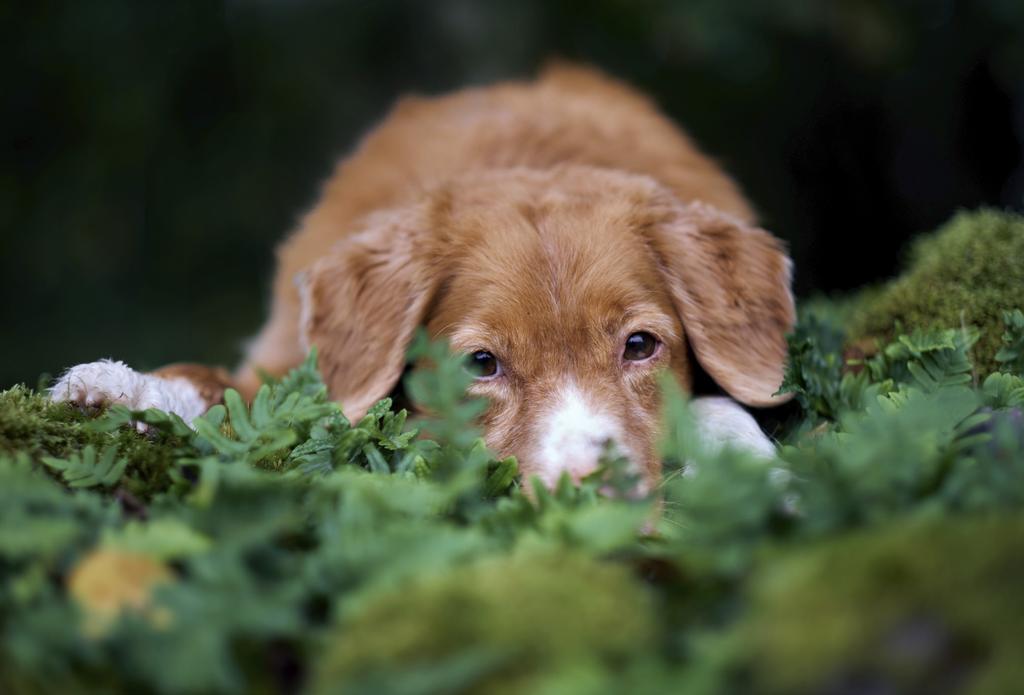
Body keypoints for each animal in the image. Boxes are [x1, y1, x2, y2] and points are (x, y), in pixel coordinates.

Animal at [51, 63, 794, 489]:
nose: (591, 486)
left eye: (640, 345)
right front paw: (123, 388)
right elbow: (222, 385)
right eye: (482, 363)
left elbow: (724, 403)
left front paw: (755, 473)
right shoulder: (299, 363)